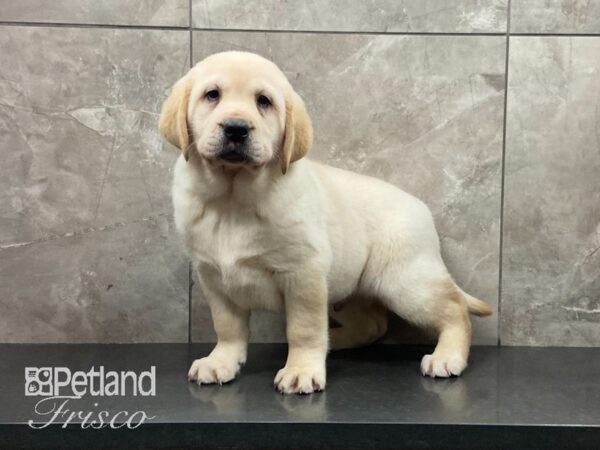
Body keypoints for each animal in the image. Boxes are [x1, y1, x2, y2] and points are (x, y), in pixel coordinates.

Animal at [159, 50, 492, 394]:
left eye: (264, 101)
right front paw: (220, 362)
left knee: (455, 309)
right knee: (373, 325)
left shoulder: (303, 273)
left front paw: (301, 370)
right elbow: (227, 327)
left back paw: (447, 357)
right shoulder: (214, 277)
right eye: (212, 95)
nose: (236, 128)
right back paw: (335, 342)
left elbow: (303, 328)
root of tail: (421, 208)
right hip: (356, 288)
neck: (232, 198)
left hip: (404, 281)